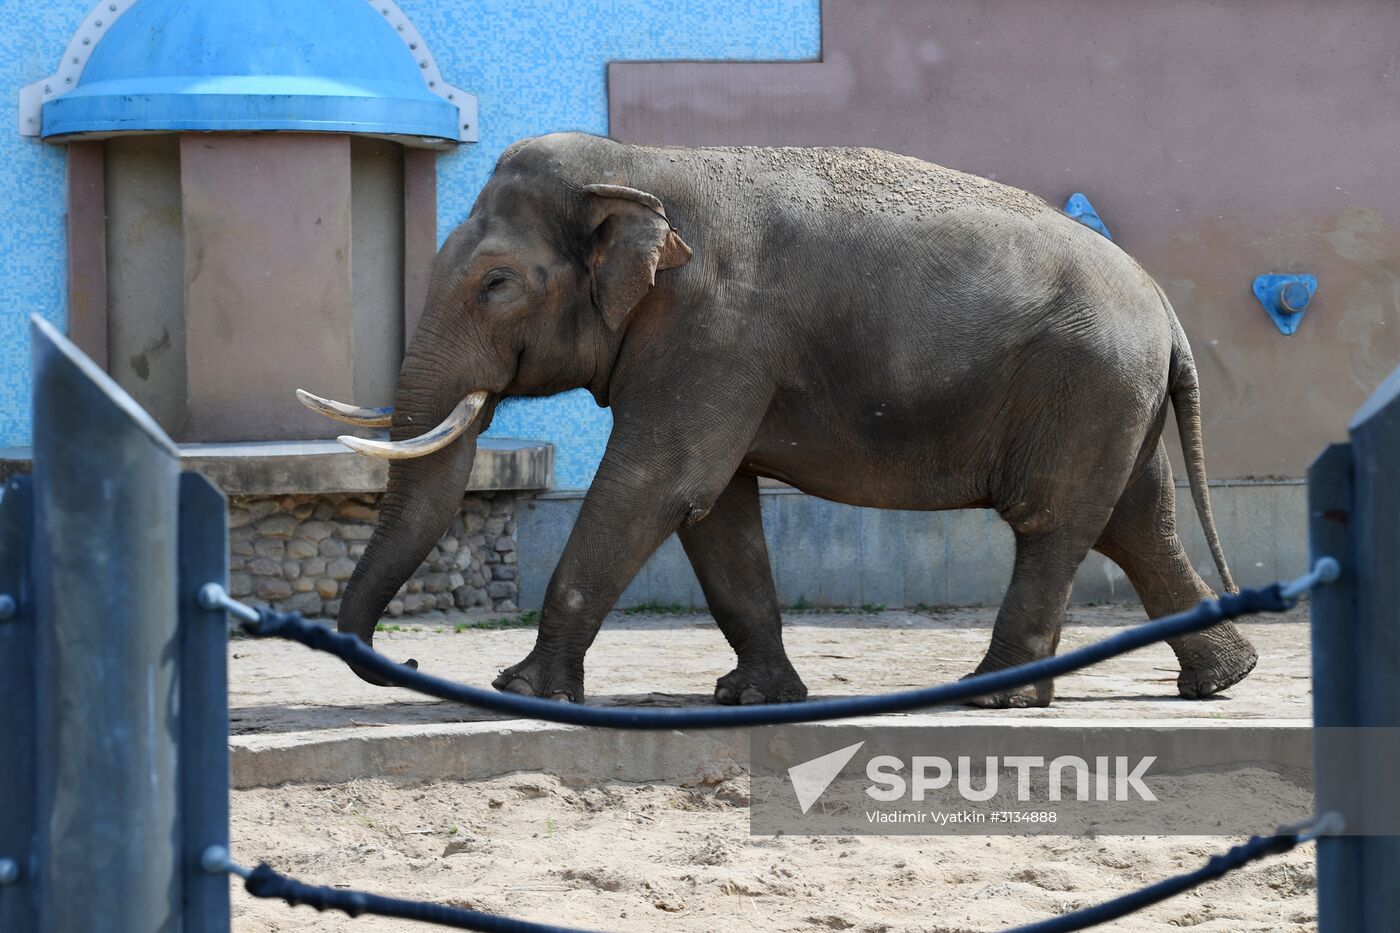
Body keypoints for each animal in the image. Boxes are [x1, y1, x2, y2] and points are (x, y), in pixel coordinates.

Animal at [298, 132, 1260, 706]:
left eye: (495, 283)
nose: (408, 664)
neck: (636, 166)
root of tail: (1165, 309)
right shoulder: (717, 357)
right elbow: (717, 512)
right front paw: (753, 698)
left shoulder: (715, 332)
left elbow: (657, 485)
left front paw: (521, 691)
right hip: (1115, 397)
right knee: (1137, 521)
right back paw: (1221, 678)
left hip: (1086, 384)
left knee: (1055, 522)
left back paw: (992, 692)